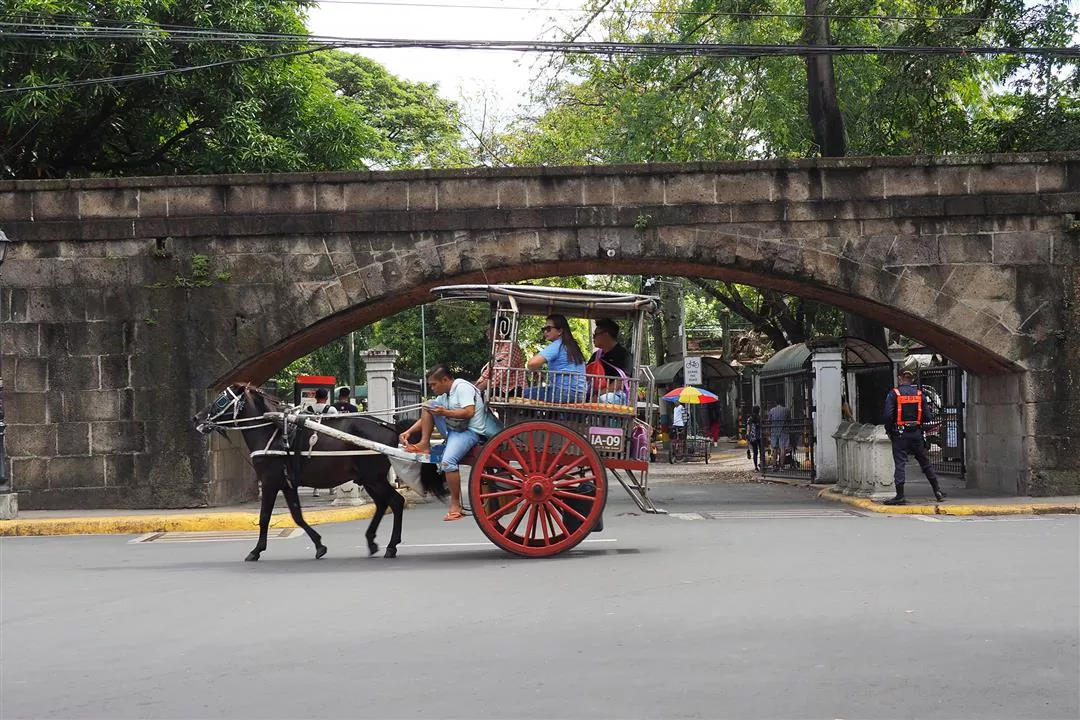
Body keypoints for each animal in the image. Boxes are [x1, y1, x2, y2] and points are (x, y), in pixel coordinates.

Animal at [193, 384, 416, 561]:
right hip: (368, 479)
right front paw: (319, 545)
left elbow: (264, 517)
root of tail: (390, 426)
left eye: (222, 400)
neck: (273, 432)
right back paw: (372, 541)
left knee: (396, 502)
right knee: (383, 504)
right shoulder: (287, 484)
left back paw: (391, 546)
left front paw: (256, 550)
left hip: (373, 478)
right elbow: (297, 515)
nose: (197, 418)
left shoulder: (270, 482)